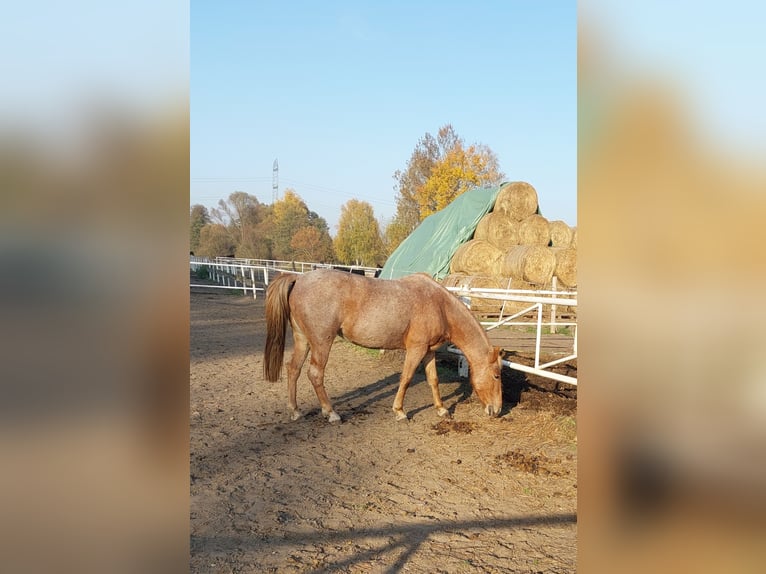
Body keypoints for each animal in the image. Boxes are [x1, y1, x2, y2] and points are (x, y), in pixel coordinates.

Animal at [264, 270, 504, 424]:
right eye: (496, 375)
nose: (498, 410)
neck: (439, 305)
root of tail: (299, 278)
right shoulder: (416, 349)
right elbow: (406, 378)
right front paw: (399, 411)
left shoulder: (428, 351)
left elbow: (433, 380)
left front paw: (442, 409)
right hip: (322, 341)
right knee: (315, 374)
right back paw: (331, 413)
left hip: (303, 339)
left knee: (293, 369)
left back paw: (295, 411)